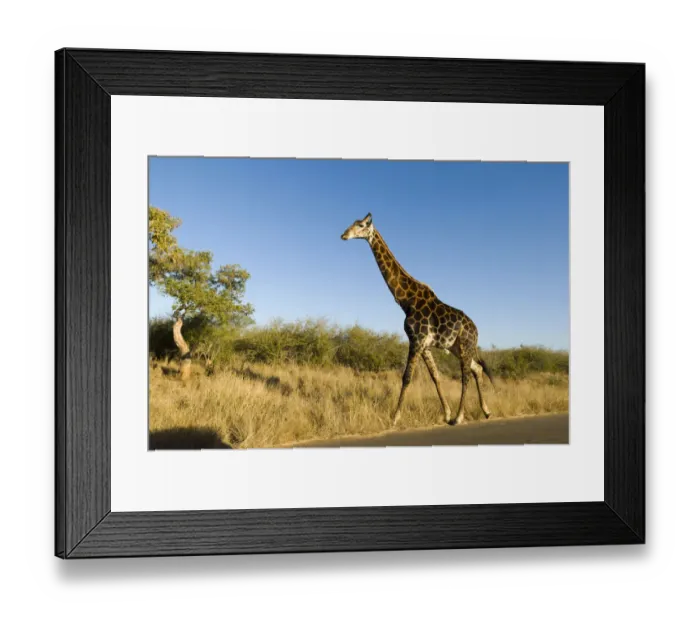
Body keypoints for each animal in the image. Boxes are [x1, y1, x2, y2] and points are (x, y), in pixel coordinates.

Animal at [341, 213, 494, 427]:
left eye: (361, 225)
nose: (344, 235)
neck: (406, 300)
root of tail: (476, 330)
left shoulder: (416, 340)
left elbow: (406, 377)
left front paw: (395, 418)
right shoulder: (424, 345)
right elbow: (436, 376)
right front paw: (446, 413)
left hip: (465, 345)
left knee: (466, 376)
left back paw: (460, 417)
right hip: (456, 347)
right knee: (477, 369)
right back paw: (486, 411)